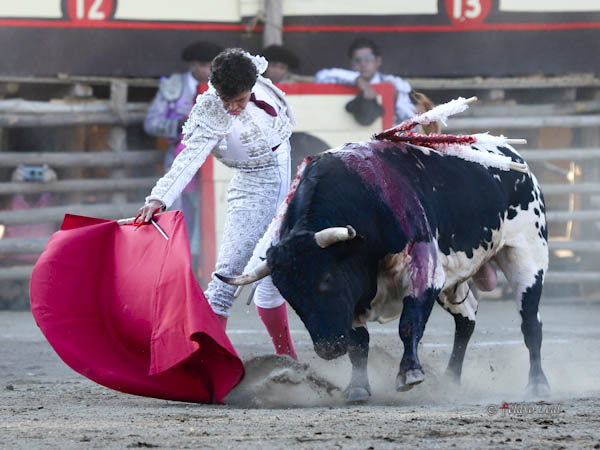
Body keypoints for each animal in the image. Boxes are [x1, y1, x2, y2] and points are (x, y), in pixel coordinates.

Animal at [218, 141, 552, 400]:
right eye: (290, 297)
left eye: (326, 279)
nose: (328, 348)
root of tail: (512, 155)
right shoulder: (354, 299)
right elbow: (359, 342)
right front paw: (356, 387)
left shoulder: (423, 272)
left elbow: (409, 325)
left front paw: (410, 373)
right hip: (454, 278)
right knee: (467, 318)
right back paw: (451, 381)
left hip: (527, 254)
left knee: (531, 323)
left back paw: (538, 384)